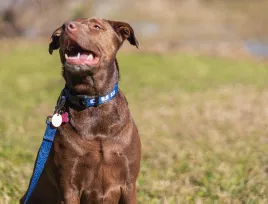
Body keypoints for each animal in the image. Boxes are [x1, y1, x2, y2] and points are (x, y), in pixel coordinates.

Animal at [20, 17, 141, 202]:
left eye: (96, 26)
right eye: (62, 29)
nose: (67, 26)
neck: (92, 101)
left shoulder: (128, 183)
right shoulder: (69, 186)